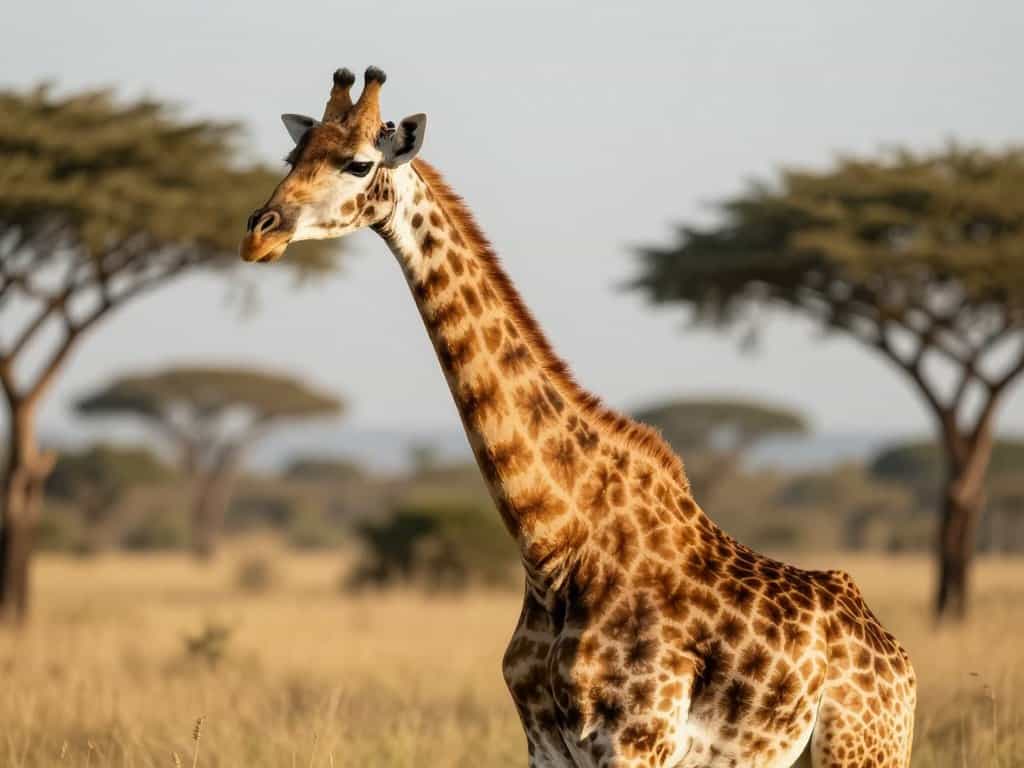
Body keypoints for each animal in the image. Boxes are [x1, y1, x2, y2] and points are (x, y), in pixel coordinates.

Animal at [240, 67, 916, 768]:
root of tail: (898, 660)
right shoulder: (545, 743)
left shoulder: (637, 741)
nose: (259, 231)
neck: (553, 547)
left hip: (862, 749)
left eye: (359, 163)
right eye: (293, 155)